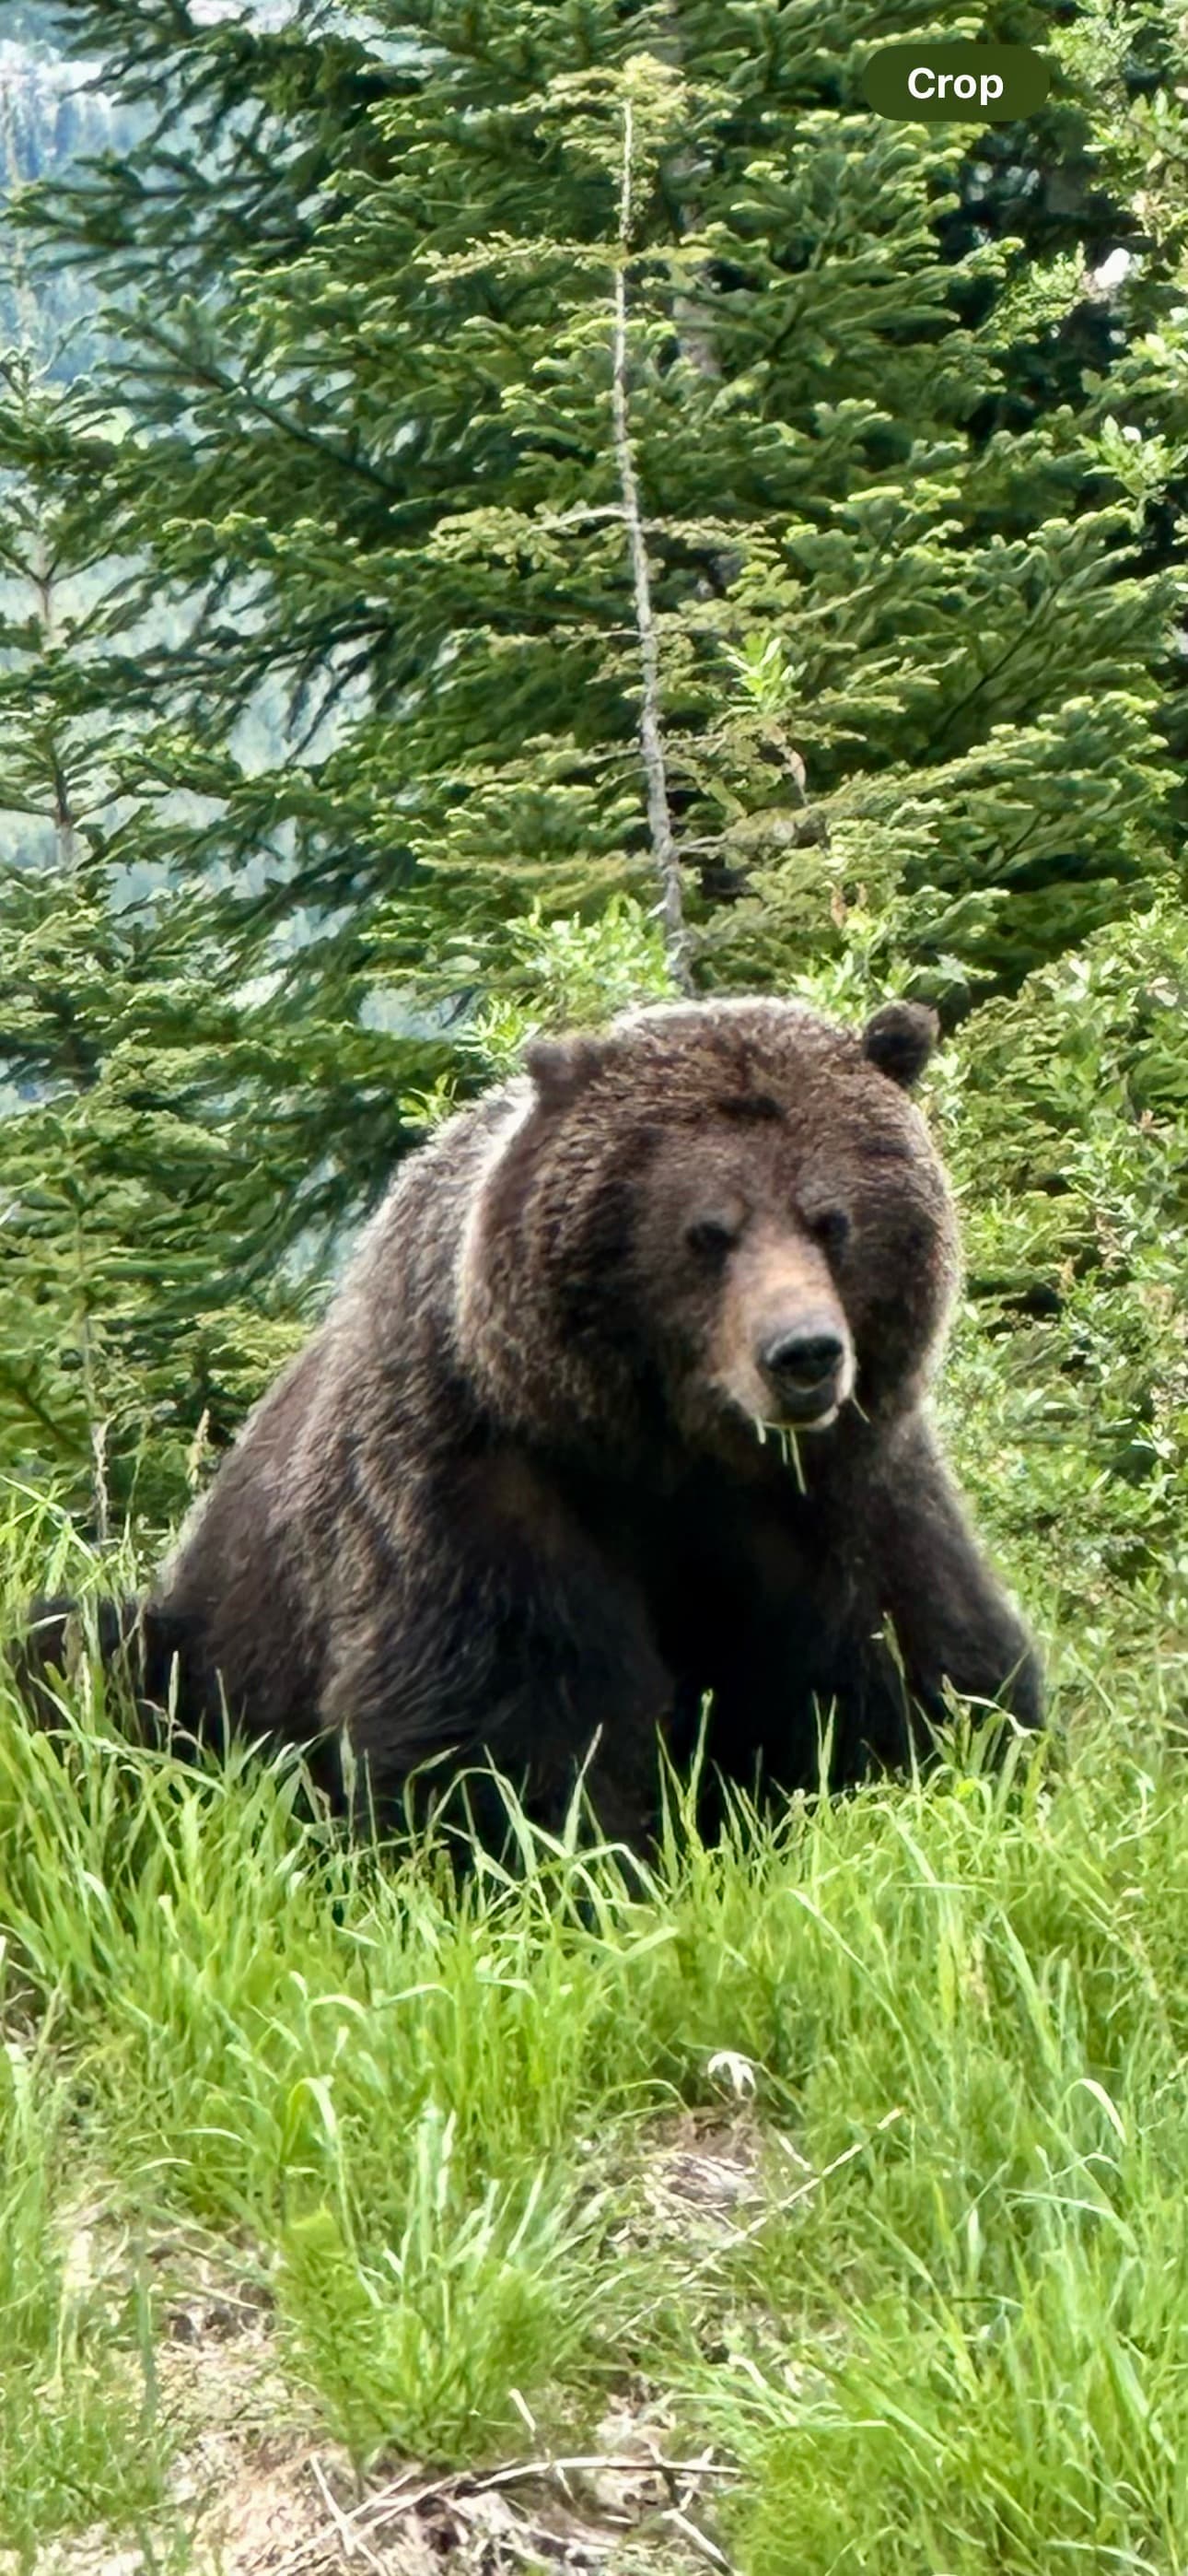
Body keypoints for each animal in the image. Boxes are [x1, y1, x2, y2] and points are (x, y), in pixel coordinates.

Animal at [21, 996, 1041, 1849]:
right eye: (708, 1230)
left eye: (831, 1219)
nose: (804, 1355)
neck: (671, 1456)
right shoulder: (477, 1480)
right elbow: (501, 1732)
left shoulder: (838, 1493)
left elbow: (923, 1666)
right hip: (205, 1655)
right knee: (78, 1655)